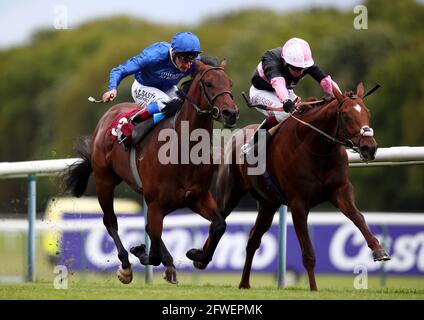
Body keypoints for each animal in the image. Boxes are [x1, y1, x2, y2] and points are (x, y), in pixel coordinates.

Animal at [65, 58, 240, 284]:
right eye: (209, 83)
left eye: (230, 83)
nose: (231, 113)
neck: (183, 148)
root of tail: (109, 114)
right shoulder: (156, 203)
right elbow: (153, 249)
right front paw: (141, 251)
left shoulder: (197, 197)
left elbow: (219, 225)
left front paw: (197, 255)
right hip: (105, 181)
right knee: (110, 221)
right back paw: (126, 266)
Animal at [197, 82, 390, 290]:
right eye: (345, 115)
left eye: (367, 112)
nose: (369, 147)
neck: (317, 149)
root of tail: (237, 135)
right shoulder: (298, 204)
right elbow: (308, 253)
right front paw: (313, 289)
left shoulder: (340, 190)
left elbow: (357, 217)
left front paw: (379, 250)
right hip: (230, 194)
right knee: (218, 220)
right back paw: (201, 258)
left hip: (268, 204)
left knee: (253, 240)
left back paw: (244, 282)